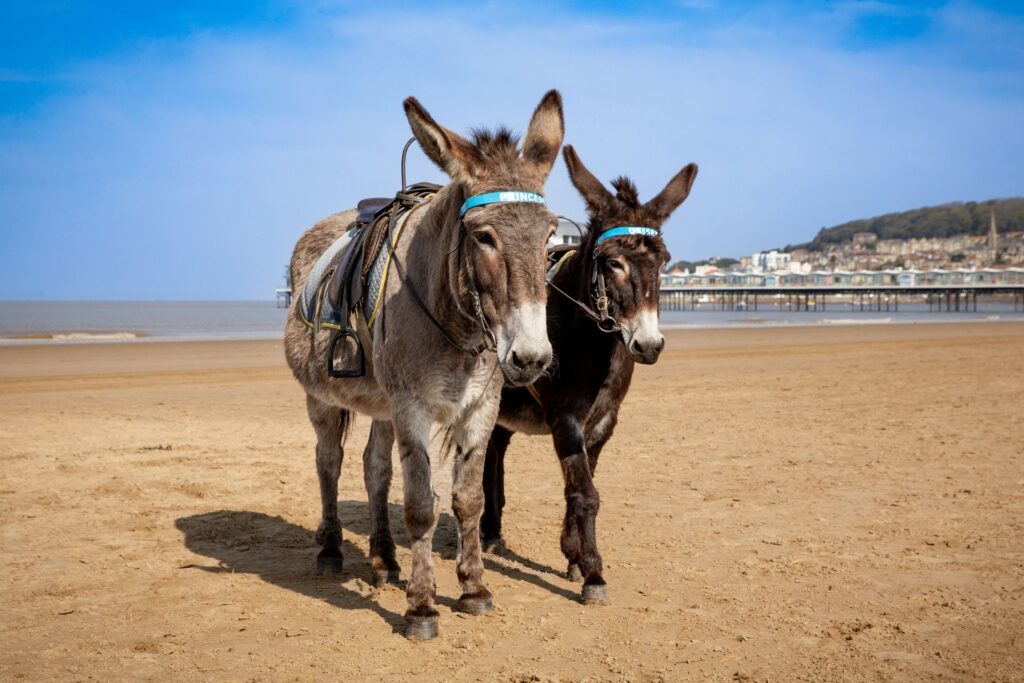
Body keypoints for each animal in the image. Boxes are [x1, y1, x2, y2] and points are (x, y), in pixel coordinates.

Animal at [284, 91, 565, 639]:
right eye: (483, 237)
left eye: (549, 237)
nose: (531, 358)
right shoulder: (412, 406)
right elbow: (420, 505)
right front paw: (422, 607)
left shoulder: (480, 406)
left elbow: (468, 500)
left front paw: (474, 589)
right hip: (322, 398)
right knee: (329, 461)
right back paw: (331, 551)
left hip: (380, 403)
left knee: (374, 469)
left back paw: (384, 560)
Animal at [480, 145, 698, 604]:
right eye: (613, 262)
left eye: (664, 262)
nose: (649, 345)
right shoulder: (565, 417)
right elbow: (584, 493)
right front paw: (594, 572)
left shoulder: (603, 421)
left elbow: (580, 484)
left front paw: (574, 555)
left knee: (496, 451)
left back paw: (492, 530)